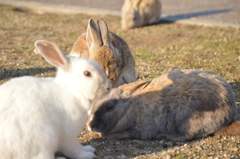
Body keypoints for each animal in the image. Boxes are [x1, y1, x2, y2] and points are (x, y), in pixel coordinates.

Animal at [87, 69, 240, 142]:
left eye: (109, 107)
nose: (91, 125)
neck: (129, 107)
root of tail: (228, 115)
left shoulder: (141, 129)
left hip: (186, 116)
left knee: (188, 135)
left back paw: (167, 136)